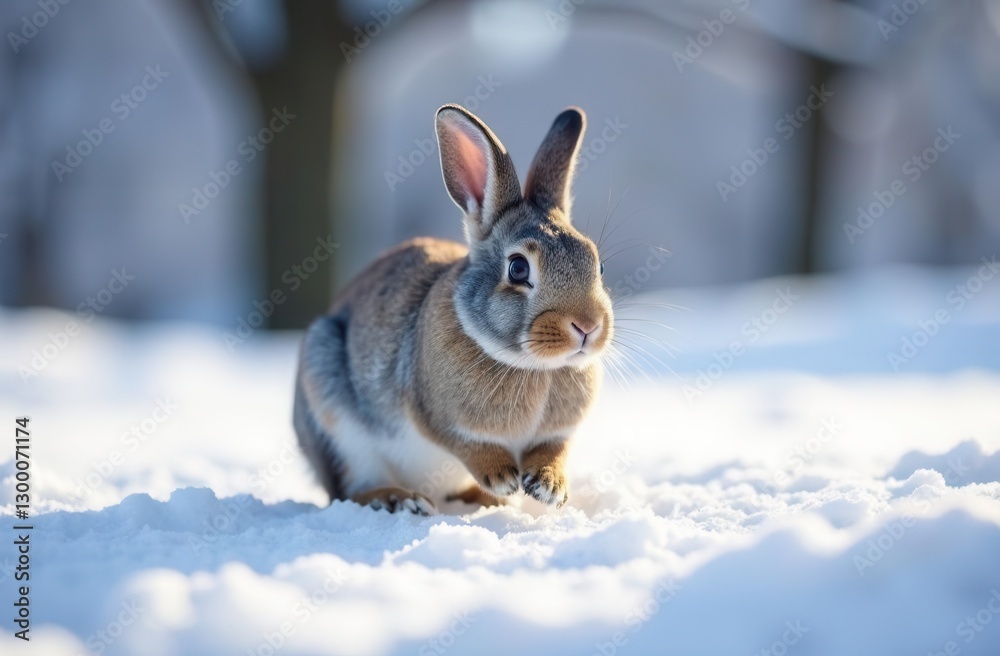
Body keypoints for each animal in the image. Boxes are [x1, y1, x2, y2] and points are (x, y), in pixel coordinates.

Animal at [293, 103, 613, 515]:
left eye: (597, 264)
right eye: (518, 268)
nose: (587, 326)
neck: (535, 366)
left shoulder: (558, 433)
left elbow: (553, 450)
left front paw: (549, 487)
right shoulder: (433, 415)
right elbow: (465, 443)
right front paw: (502, 477)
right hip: (336, 416)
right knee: (350, 489)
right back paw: (403, 499)